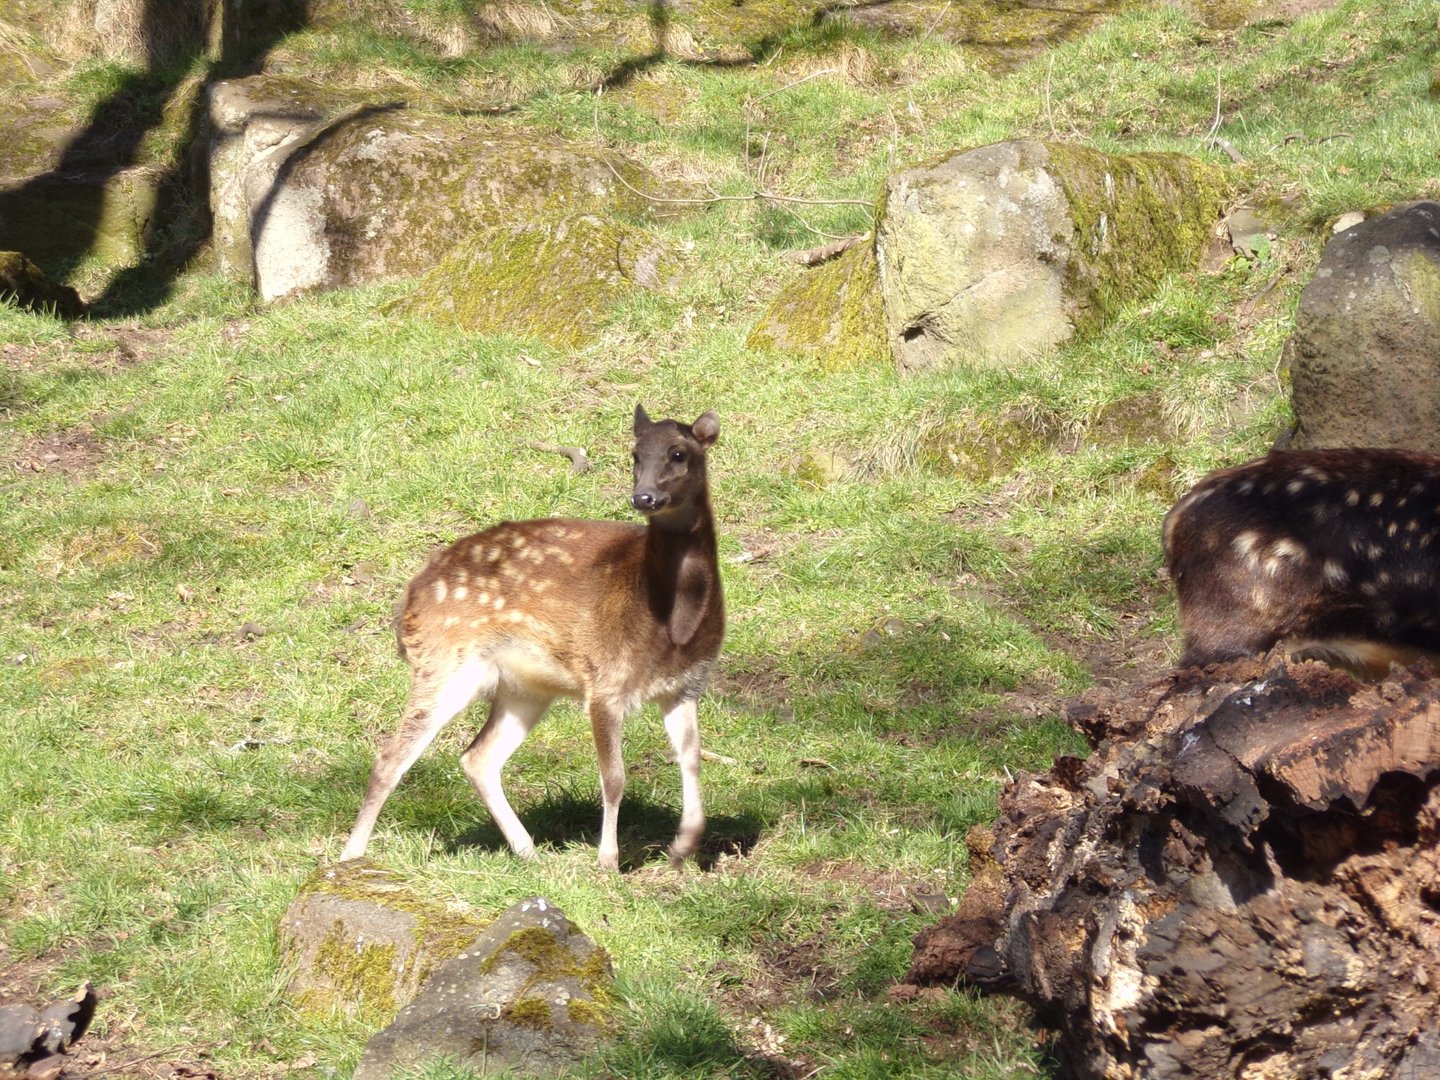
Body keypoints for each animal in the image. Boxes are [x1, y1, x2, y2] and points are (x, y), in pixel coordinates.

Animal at [340, 405, 724, 872]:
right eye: (635, 454)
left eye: (679, 453)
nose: (643, 498)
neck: (671, 624)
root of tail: (406, 604)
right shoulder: (604, 681)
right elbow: (614, 777)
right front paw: (608, 862)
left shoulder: (685, 685)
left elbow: (692, 759)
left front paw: (684, 847)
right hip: (445, 663)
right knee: (391, 757)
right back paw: (350, 857)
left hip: (525, 687)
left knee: (478, 757)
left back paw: (530, 853)